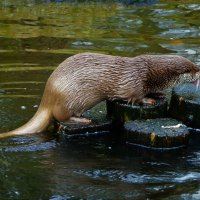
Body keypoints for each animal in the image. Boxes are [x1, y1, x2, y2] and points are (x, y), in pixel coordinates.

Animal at [0, 52, 200, 138]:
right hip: (66, 100)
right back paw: (82, 119)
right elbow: (134, 96)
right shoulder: (133, 82)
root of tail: (47, 97)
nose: (199, 70)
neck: (148, 72)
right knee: (60, 116)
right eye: (191, 69)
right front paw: (148, 99)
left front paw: (158, 94)